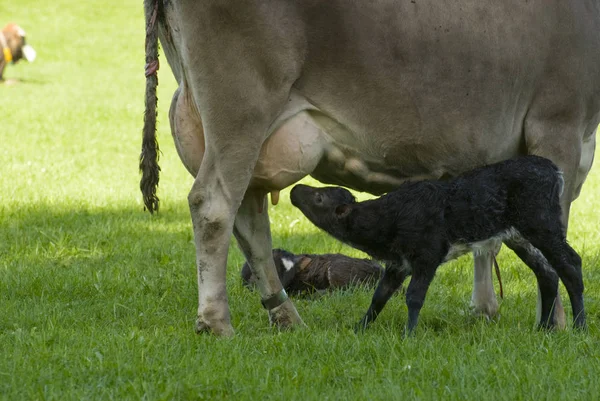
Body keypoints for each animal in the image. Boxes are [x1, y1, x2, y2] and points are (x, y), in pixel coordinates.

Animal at [290, 155, 584, 332]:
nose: (294, 190)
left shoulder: (428, 254)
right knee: (547, 272)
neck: (385, 219)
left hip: (542, 224)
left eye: (318, 198)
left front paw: (409, 335)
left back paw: (580, 326)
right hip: (520, 236)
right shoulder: (398, 263)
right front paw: (359, 328)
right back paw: (543, 329)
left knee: (571, 264)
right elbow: (379, 296)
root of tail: (554, 170)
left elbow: (414, 296)